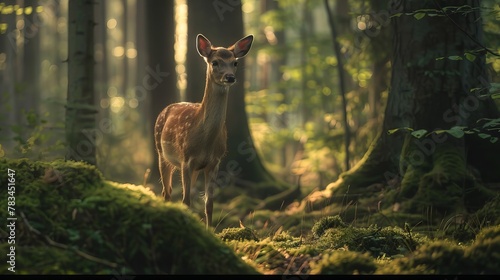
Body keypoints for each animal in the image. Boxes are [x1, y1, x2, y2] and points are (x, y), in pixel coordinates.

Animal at [153, 34, 254, 229]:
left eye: (235, 62)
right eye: (215, 62)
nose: (230, 77)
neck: (205, 140)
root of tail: (166, 109)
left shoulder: (214, 162)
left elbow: (209, 203)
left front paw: (210, 230)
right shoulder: (186, 160)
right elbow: (185, 201)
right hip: (161, 153)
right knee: (166, 192)